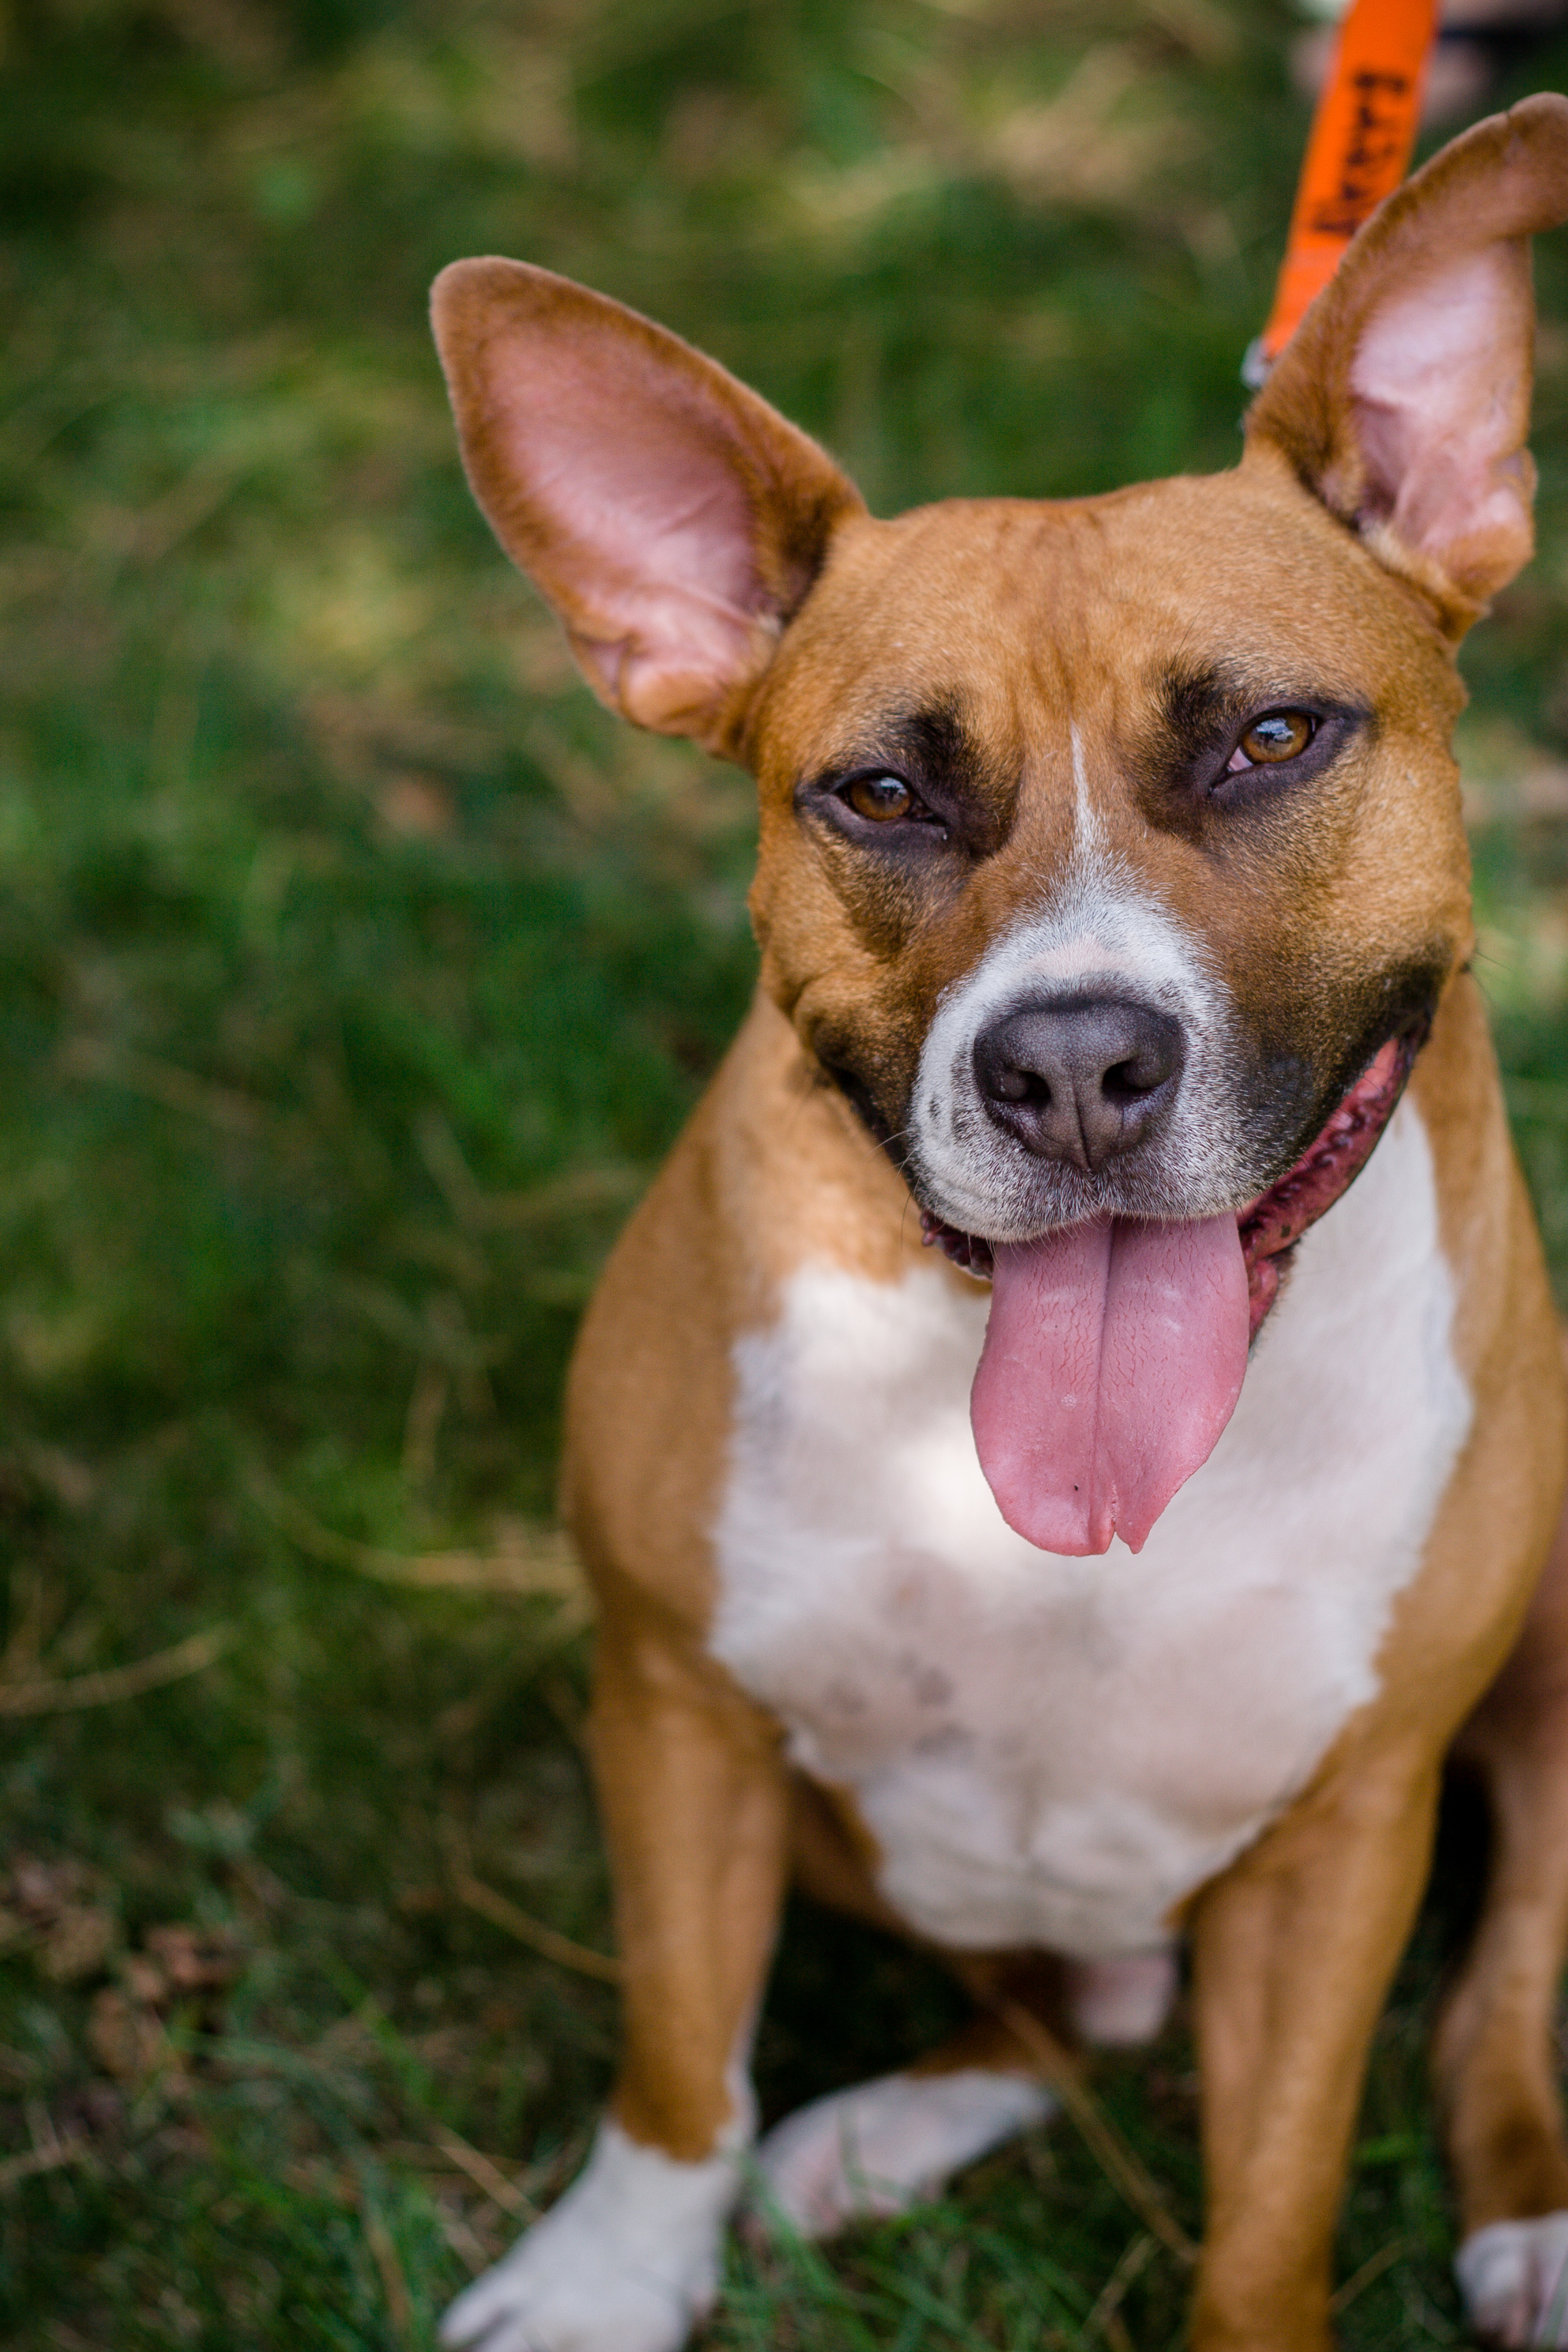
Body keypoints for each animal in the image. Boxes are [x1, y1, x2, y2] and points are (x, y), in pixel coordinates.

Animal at [435, 91, 1568, 2352]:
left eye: (1272, 738)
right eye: (879, 796)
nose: (1070, 1066)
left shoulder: (1351, 1832)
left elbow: (1276, 2198)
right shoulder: (673, 1705)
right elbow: (678, 2054)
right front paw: (611, 2274)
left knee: (1500, 1989)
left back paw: (1537, 2222)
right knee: (1071, 2006)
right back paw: (883, 2133)